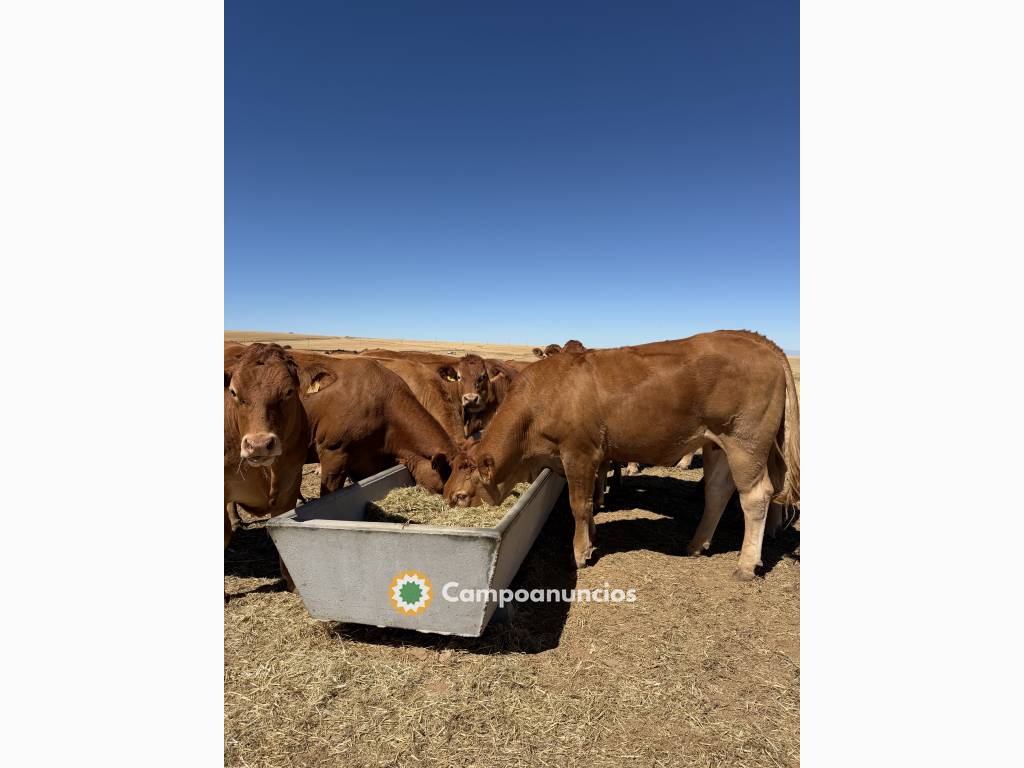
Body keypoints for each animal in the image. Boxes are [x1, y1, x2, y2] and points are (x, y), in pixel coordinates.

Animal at [443, 331, 800, 581]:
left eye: (464, 481)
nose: (447, 496)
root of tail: (758, 341)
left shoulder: (579, 454)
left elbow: (580, 505)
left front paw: (579, 552)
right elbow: (590, 506)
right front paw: (592, 539)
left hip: (746, 443)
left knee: (756, 496)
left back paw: (746, 564)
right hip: (717, 445)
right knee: (717, 492)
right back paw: (697, 544)